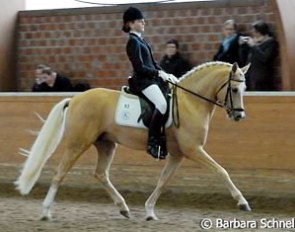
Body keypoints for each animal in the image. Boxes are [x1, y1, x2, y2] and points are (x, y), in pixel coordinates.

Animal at [15, 60, 252, 220]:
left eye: (244, 88)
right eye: (234, 89)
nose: (239, 116)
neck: (190, 102)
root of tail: (75, 99)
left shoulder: (178, 154)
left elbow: (163, 181)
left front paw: (149, 211)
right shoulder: (193, 149)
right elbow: (221, 171)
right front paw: (242, 202)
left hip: (106, 144)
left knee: (100, 173)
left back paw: (123, 208)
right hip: (78, 143)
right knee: (60, 173)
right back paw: (46, 212)